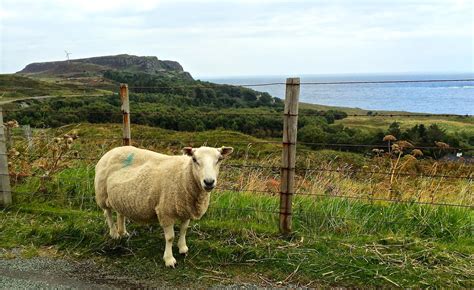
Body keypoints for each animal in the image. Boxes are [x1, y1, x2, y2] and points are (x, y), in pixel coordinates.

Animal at [94, 145, 233, 268]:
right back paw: (114, 233)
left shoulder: (185, 209)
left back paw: (123, 232)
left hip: (120, 196)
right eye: (194, 159)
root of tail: (111, 151)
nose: (209, 182)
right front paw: (169, 259)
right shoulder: (165, 212)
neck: (184, 174)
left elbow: (184, 230)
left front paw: (183, 248)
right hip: (102, 193)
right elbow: (170, 237)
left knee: (120, 212)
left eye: (219, 159)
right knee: (107, 213)